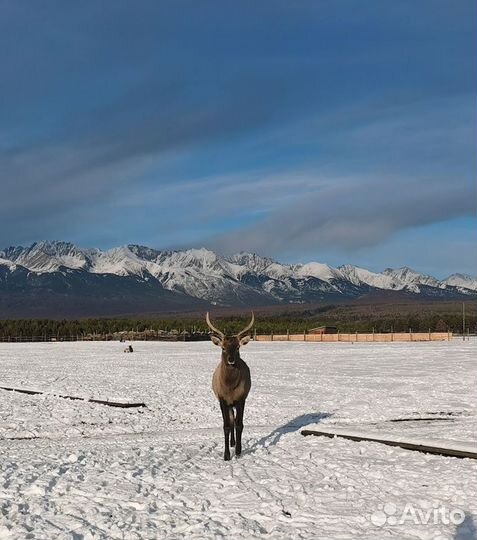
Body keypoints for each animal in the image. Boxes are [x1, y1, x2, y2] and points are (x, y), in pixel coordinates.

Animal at [206, 312, 255, 460]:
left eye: (238, 347)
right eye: (223, 347)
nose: (231, 359)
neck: (230, 387)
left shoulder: (241, 398)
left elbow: (239, 425)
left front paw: (238, 451)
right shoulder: (222, 399)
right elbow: (226, 426)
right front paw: (226, 455)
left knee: (234, 420)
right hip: (228, 404)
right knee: (231, 419)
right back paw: (232, 443)